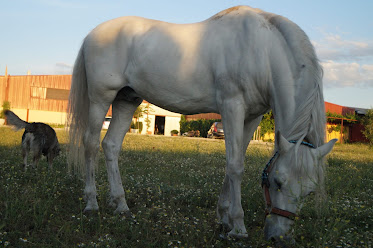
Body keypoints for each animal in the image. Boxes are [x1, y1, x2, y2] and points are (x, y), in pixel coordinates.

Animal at [67, 5, 338, 242]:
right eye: (277, 182)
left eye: (310, 191)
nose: (278, 238)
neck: (262, 49)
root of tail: (92, 34)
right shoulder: (231, 107)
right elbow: (235, 166)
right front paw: (238, 227)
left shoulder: (252, 117)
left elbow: (236, 161)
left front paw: (224, 218)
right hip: (101, 98)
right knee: (90, 145)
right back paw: (92, 204)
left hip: (127, 99)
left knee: (111, 146)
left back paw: (121, 205)